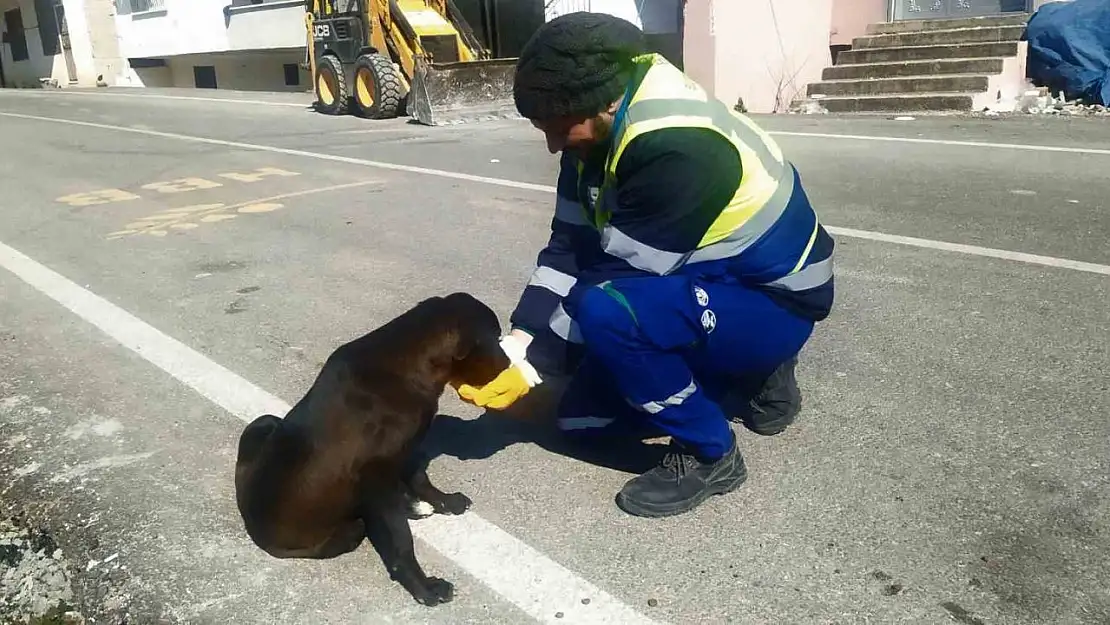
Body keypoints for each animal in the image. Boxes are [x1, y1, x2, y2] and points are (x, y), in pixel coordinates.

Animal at [237, 293, 510, 608]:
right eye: (495, 338)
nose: (508, 364)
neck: (409, 367)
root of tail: (251, 525)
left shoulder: (408, 447)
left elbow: (420, 479)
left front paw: (443, 501)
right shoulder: (378, 476)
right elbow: (401, 540)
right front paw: (423, 587)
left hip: (265, 421)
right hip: (348, 530)